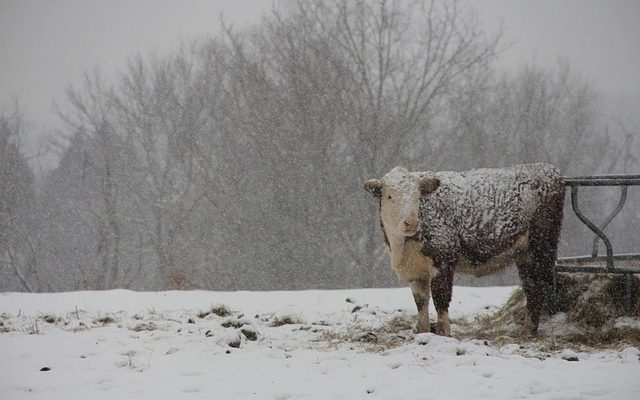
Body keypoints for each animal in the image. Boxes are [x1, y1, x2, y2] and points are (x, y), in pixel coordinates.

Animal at [364, 162, 564, 334]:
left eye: (418, 195)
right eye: (390, 196)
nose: (411, 222)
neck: (402, 247)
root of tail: (549, 169)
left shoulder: (443, 259)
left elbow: (441, 299)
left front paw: (443, 333)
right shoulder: (415, 272)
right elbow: (421, 303)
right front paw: (422, 332)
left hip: (543, 244)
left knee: (544, 282)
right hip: (524, 253)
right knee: (532, 287)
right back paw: (528, 330)